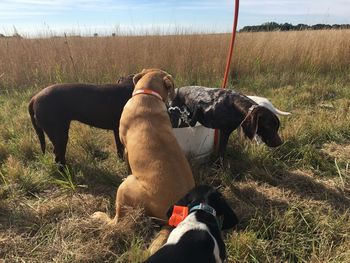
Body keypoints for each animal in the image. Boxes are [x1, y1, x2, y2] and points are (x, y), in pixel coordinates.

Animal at [91, 69, 196, 227]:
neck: (148, 95)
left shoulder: (125, 147)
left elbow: (127, 164)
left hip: (124, 189)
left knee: (116, 219)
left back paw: (99, 216)